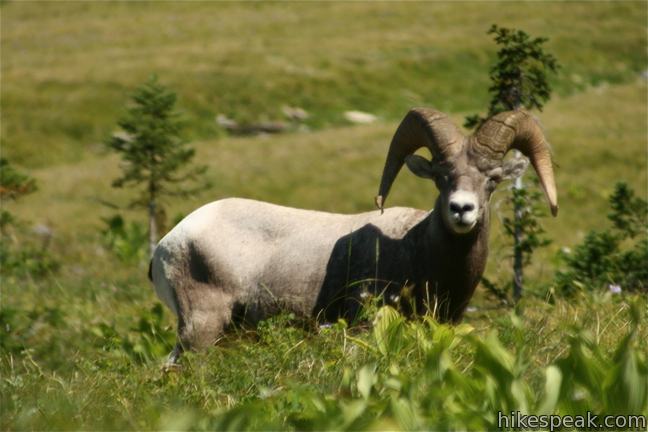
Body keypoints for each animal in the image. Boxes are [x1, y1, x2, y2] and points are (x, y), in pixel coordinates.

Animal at [148, 107, 556, 362]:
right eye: (442, 177)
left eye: (491, 180)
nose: (461, 209)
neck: (418, 251)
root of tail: (167, 244)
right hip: (202, 328)